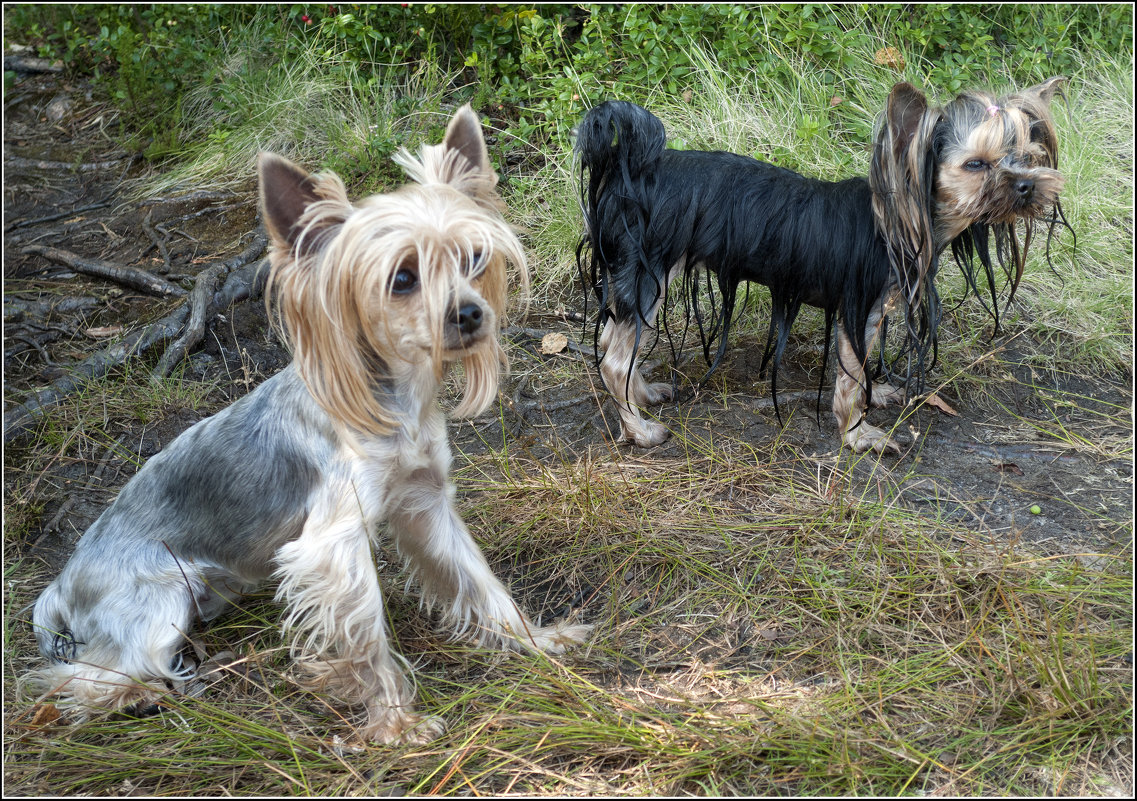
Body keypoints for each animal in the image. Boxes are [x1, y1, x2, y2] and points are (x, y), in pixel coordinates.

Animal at [24, 104, 595, 746]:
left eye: (475, 259)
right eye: (402, 278)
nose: (471, 314)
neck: (396, 399)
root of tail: (60, 586)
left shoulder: (426, 503)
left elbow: (477, 579)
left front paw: (536, 641)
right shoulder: (332, 544)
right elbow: (366, 635)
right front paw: (396, 724)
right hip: (155, 603)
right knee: (80, 677)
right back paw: (135, 696)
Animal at [577, 81, 1064, 457]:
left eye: (1028, 154)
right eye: (976, 164)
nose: (1028, 184)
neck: (900, 217)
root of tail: (626, 170)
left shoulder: (872, 313)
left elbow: (863, 367)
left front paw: (877, 394)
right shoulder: (858, 309)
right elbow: (851, 378)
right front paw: (859, 435)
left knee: (616, 341)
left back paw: (641, 395)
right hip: (649, 276)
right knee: (614, 359)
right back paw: (639, 430)